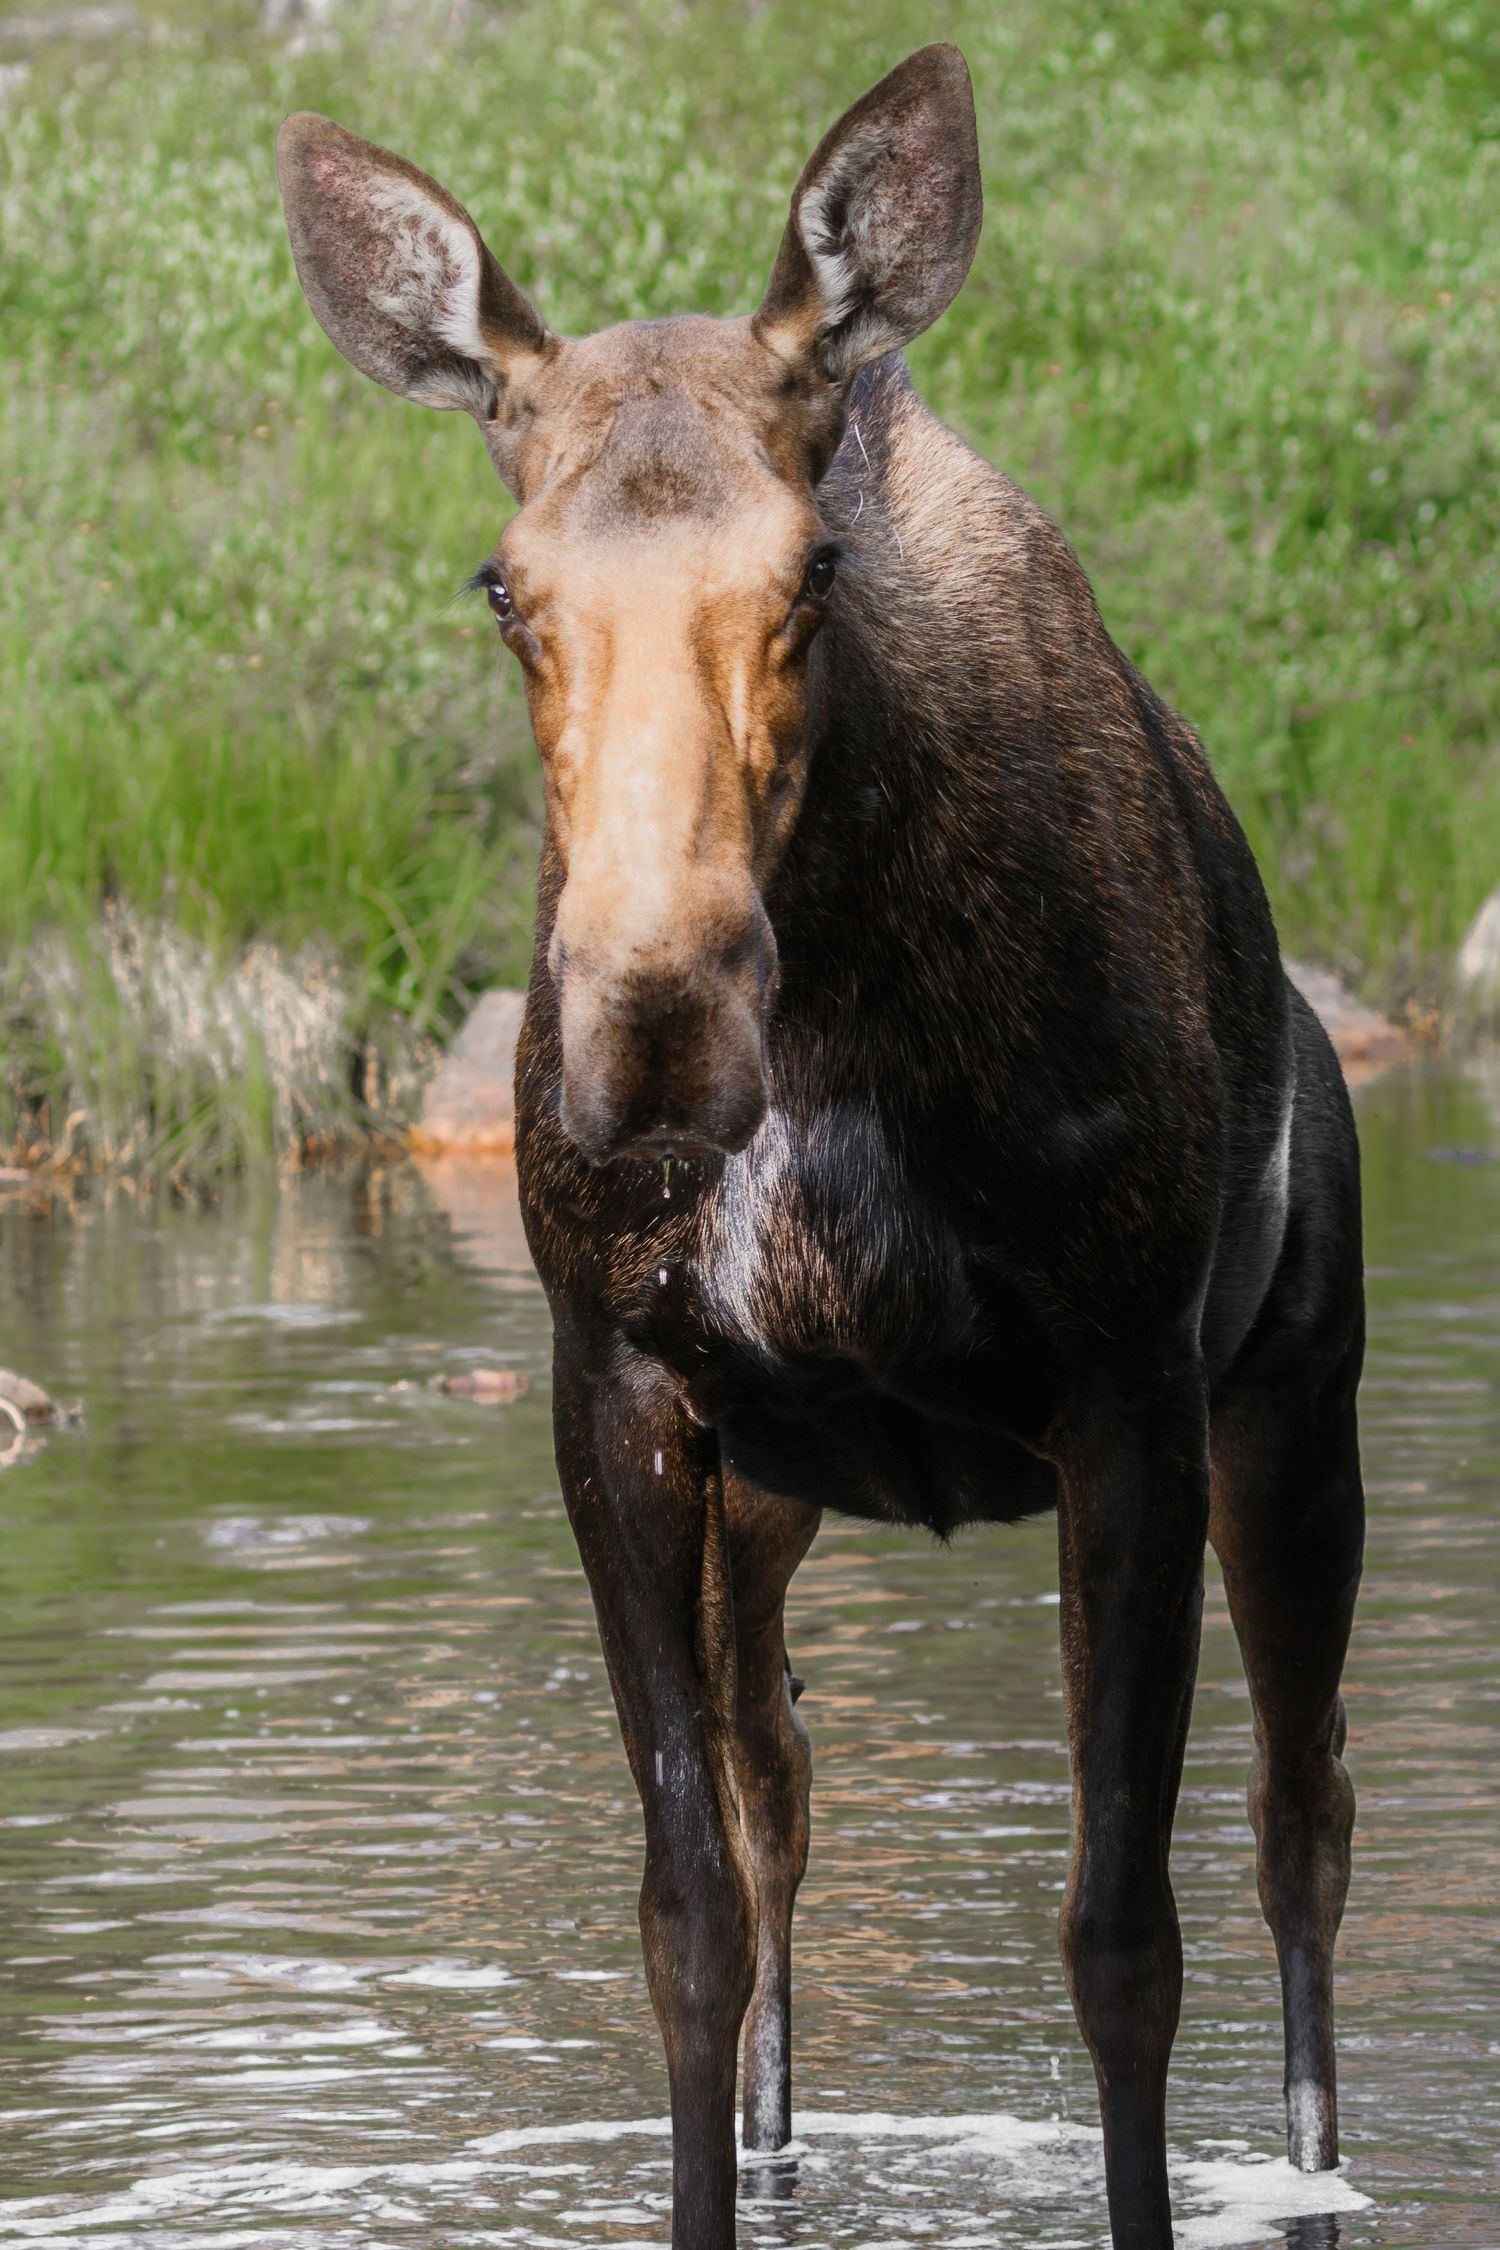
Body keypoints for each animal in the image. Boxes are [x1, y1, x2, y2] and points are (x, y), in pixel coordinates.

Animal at [277, 45, 1366, 2248]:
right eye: (504, 585)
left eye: (810, 576)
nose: (654, 1008)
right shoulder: (624, 1388)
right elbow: (688, 1916)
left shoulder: (1129, 1390)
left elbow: (1123, 1942)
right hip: (785, 1497)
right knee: (786, 1806)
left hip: (1297, 1407)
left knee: (1305, 1824)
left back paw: (1312, 2166)